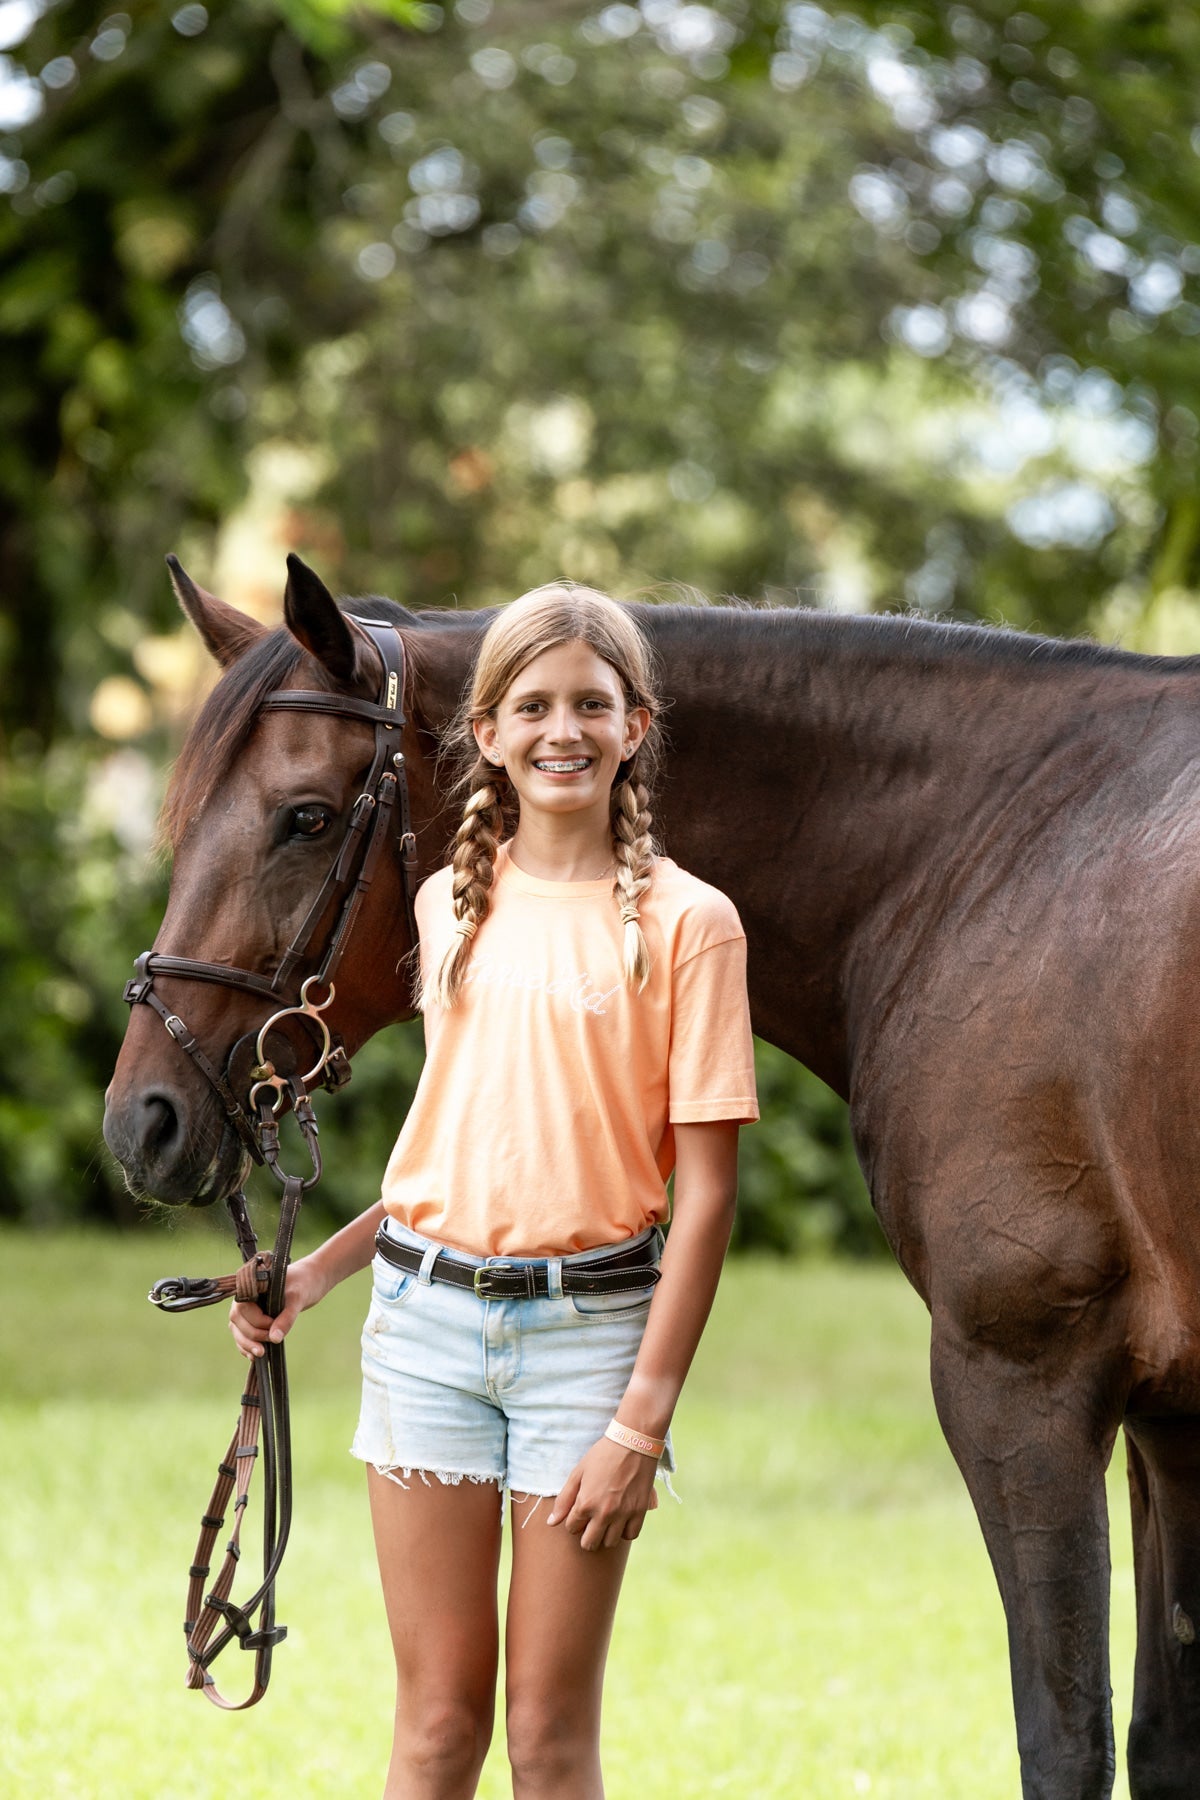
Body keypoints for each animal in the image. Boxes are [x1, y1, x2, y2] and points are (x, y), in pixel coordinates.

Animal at [104, 552, 1200, 1798]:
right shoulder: (1173, 1422)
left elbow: (1066, 1740)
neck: (992, 857)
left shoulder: (1024, 1382)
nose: (142, 1121)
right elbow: (1163, 1743)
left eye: (306, 817)